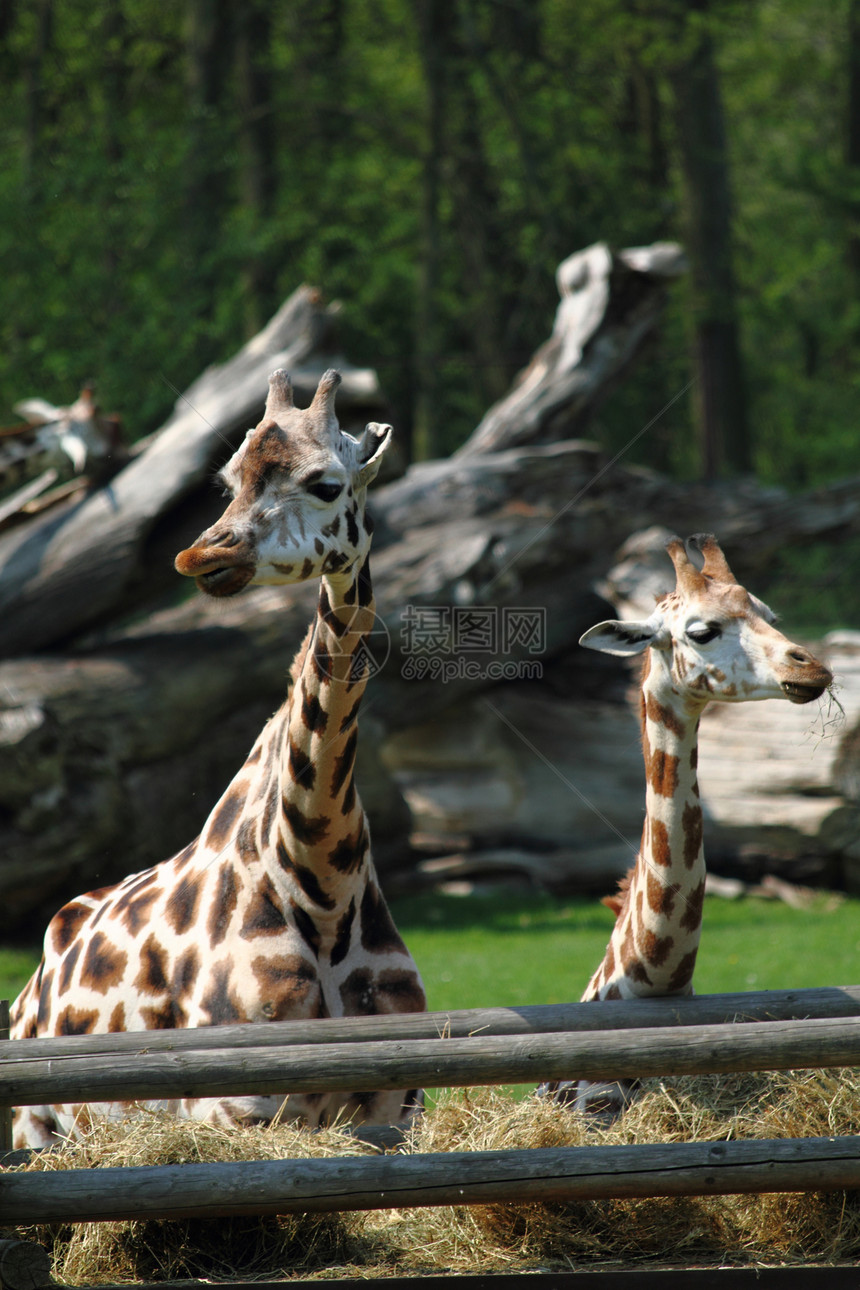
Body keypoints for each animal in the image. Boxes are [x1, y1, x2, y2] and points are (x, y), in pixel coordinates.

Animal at [11, 368, 428, 1145]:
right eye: (228, 478)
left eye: (327, 482)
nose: (201, 556)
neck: (321, 882)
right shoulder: (238, 1112)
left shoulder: (397, 1109)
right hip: (36, 1126)